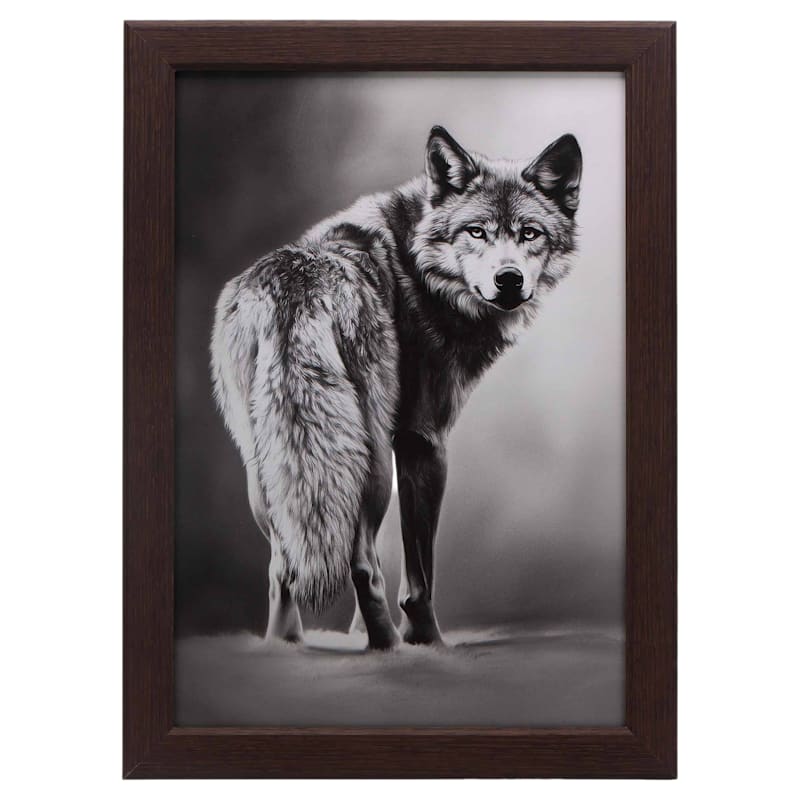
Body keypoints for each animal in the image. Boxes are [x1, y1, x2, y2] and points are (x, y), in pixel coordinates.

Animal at [211, 126, 581, 649]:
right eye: (476, 231)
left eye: (529, 233)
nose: (508, 280)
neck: (417, 264)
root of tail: (296, 286)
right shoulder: (422, 441)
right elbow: (419, 570)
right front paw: (426, 641)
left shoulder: (393, 444)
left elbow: (392, 552)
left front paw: (356, 634)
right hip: (368, 470)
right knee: (361, 566)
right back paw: (385, 647)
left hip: (268, 473)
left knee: (284, 569)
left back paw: (287, 646)